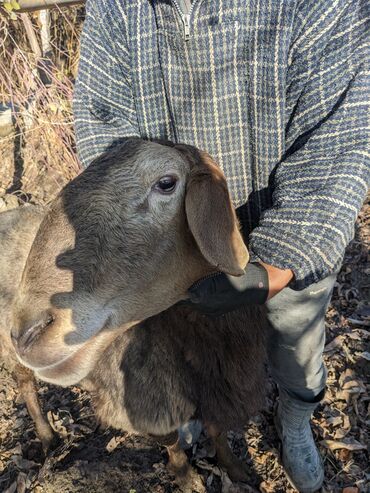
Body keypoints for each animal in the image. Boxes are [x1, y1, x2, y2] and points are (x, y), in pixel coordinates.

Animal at [7, 139, 268, 492]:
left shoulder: (217, 382)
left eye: (167, 183)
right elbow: (171, 439)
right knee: (25, 385)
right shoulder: (149, 395)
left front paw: (236, 469)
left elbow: (217, 430)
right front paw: (186, 477)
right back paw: (48, 439)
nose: (28, 332)